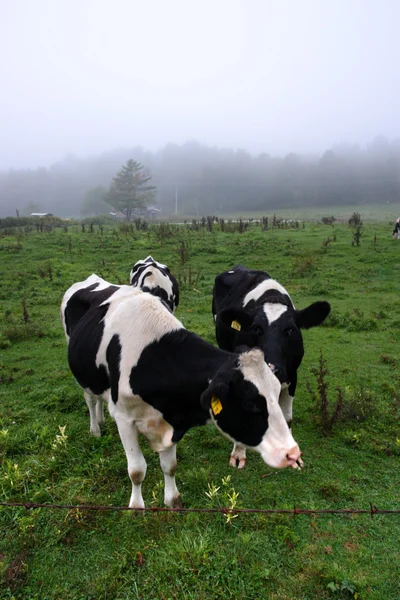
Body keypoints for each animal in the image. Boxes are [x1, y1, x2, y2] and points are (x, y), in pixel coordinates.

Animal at [61, 276, 300, 506]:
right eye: (250, 403)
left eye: (277, 393)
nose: (292, 452)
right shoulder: (124, 418)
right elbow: (137, 470)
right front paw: (136, 507)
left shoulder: (172, 419)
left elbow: (170, 466)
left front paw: (172, 500)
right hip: (81, 373)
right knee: (90, 399)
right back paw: (95, 428)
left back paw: (101, 419)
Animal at [211, 264, 330, 472]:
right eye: (256, 329)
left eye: (290, 330)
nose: (272, 369)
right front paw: (238, 453)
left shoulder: (292, 376)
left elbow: (287, 416)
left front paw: (293, 456)